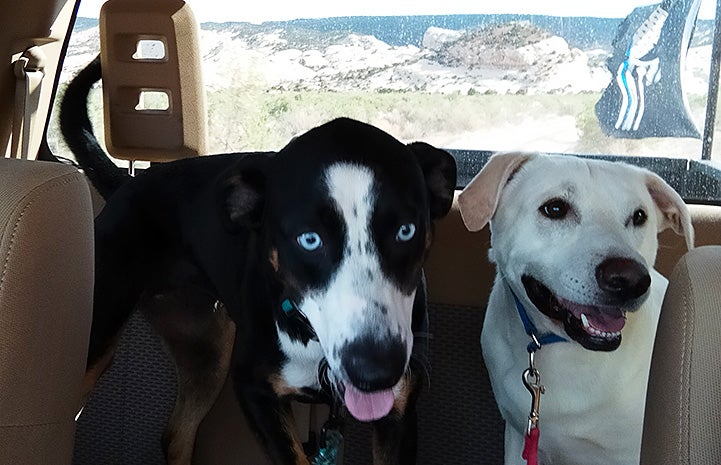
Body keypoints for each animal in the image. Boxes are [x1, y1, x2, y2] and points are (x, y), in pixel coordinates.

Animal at [62, 58, 456, 464]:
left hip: (207, 350)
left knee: (176, 435)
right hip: (97, 341)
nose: (375, 369)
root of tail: (128, 181)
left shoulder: (399, 412)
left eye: (406, 231)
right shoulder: (255, 390)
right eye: (309, 239)